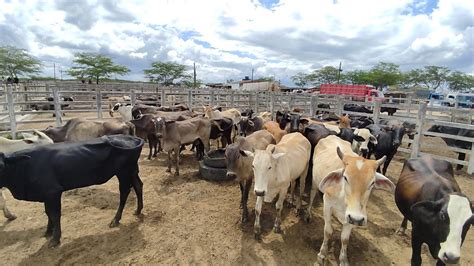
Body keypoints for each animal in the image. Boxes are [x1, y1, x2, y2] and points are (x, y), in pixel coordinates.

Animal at [0, 135, 144, 247]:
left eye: (0, 166)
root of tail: (130, 138)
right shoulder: (46, 195)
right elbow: (48, 213)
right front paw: (48, 232)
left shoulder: (53, 192)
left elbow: (54, 215)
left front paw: (55, 239)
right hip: (131, 171)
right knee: (138, 185)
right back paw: (137, 210)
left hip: (124, 172)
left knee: (124, 192)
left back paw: (115, 219)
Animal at [306, 136, 394, 264]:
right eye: (345, 177)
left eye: (372, 183)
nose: (356, 219)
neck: (344, 199)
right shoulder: (327, 204)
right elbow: (328, 231)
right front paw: (322, 254)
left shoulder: (353, 216)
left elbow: (345, 238)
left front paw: (343, 260)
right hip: (314, 181)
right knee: (312, 194)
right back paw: (308, 214)